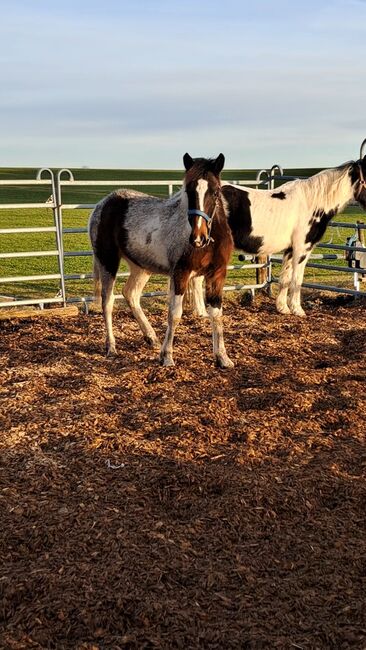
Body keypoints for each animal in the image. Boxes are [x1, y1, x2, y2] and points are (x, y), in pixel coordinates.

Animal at [88, 151, 234, 364]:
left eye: (215, 192)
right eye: (188, 191)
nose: (198, 237)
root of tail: (103, 204)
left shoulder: (217, 274)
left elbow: (216, 314)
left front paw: (222, 357)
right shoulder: (181, 273)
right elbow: (174, 314)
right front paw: (167, 356)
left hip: (141, 267)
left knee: (131, 294)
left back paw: (151, 337)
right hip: (108, 262)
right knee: (108, 302)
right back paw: (111, 347)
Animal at [190, 156, 366, 316]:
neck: (312, 201)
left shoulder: (290, 249)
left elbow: (285, 278)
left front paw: (283, 308)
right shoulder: (302, 248)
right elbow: (297, 279)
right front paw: (298, 310)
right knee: (197, 279)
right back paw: (202, 313)